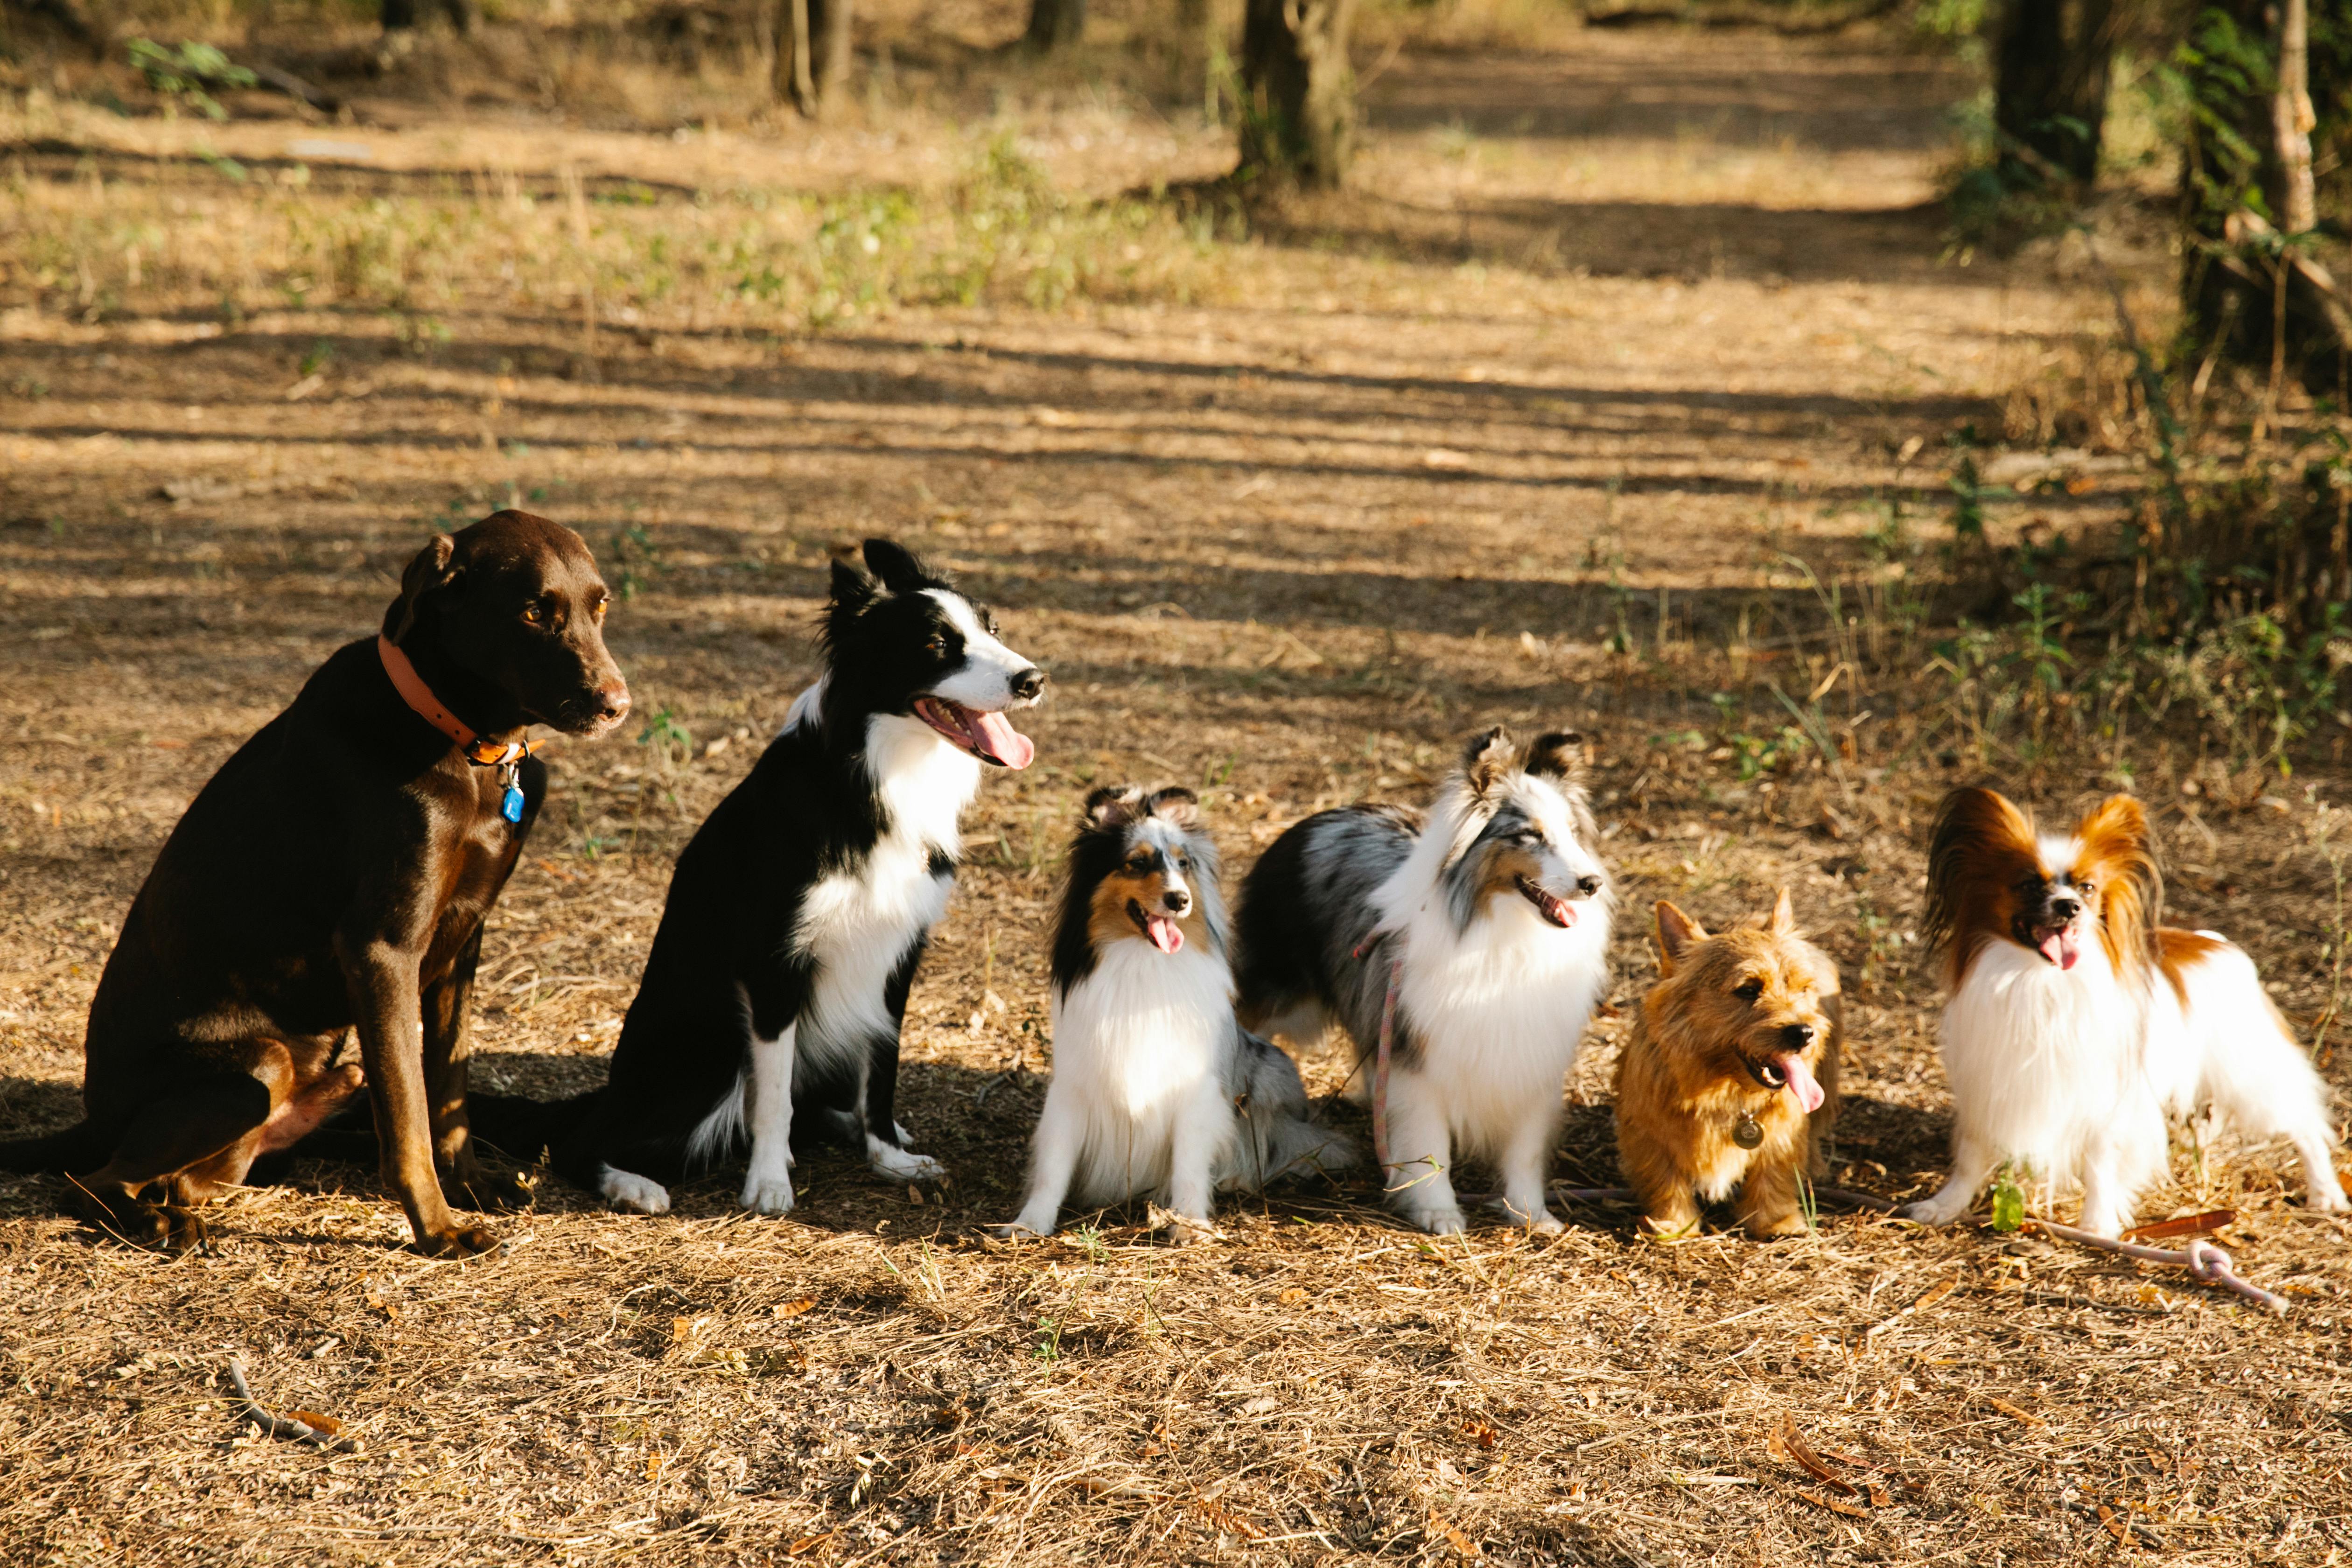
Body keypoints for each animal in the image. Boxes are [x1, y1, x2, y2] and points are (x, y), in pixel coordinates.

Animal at [0, 510, 625, 1260]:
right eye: (533, 611)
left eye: (601, 607)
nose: (617, 705)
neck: (463, 743)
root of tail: (91, 1118)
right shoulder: (383, 951)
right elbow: (410, 1114)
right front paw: (439, 1228)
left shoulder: (461, 946)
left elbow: (448, 1088)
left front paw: (473, 1185)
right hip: (255, 1069)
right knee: (93, 1181)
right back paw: (158, 1222)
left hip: (324, 1073)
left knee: (202, 1174)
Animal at [1002, 790, 1355, 1241]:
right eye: (1137, 863)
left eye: (1183, 864)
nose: (1180, 900)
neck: (1144, 962)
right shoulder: (1073, 1086)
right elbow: (1054, 1163)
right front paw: (1031, 1222)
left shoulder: (1195, 1090)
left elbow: (1189, 1163)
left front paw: (1189, 1224)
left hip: (1271, 1071)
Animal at [1242, 728, 1609, 1232]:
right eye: (1529, 835)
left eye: (1573, 832)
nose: (1593, 883)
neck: (1502, 932)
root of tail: (1317, 817)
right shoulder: (1418, 1059)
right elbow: (1430, 1145)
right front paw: (1439, 1212)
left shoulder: (1530, 1058)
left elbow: (1525, 1152)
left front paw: (1532, 1213)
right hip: (1279, 994)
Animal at [1609, 893, 1844, 1241]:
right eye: (1748, 989)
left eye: (1802, 988)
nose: (1803, 1033)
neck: (1727, 1091)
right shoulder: (1650, 1132)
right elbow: (1666, 1179)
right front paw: (1674, 1225)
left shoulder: (1782, 1130)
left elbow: (1775, 1172)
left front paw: (1777, 1222)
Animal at [1900, 785, 2342, 1241]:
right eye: (2028, 886)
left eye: (2088, 888)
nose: (2069, 907)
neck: (2040, 980)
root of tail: (2215, 943)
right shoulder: (1986, 1087)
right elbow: (1971, 1155)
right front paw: (1945, 1205)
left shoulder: (2106, 1098)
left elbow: (2100, 1162)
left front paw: (2097, 1224)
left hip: (2251, 1079)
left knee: (2306, 1126)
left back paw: (2325, 1193)